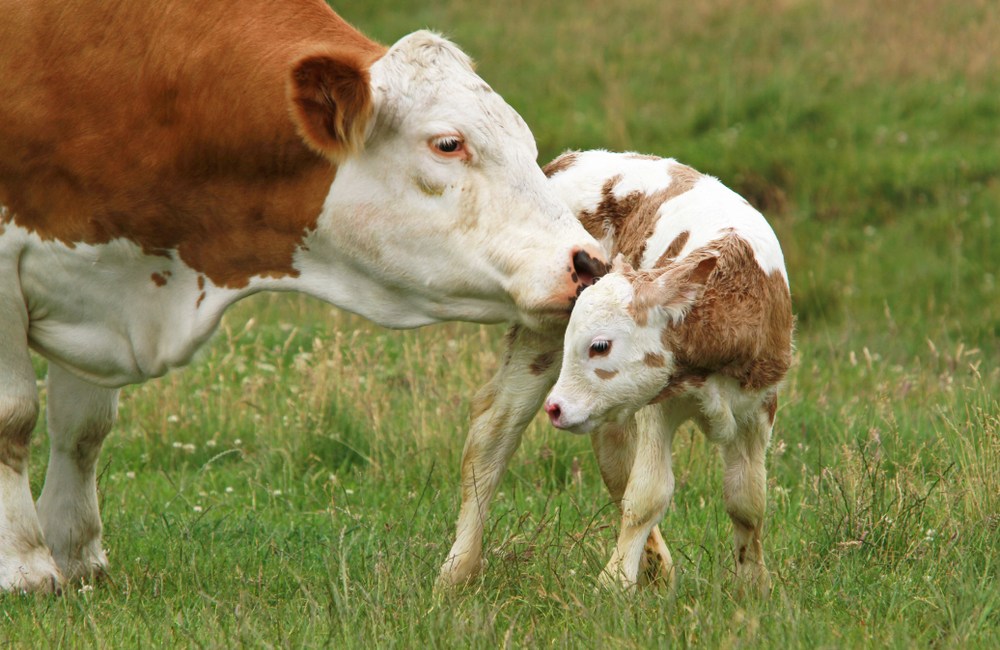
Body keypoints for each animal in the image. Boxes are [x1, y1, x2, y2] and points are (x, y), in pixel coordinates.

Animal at [1, 0, 608, 588]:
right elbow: (15, 415)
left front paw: (76, 555)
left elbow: (84, 428)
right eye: (448, 144)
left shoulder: (98, 292)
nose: (590, 262)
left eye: (527, 145)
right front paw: (28, 566)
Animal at [438, 149, 788, 596]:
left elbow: (747, 499)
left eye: (600, 346)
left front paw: (753, 587)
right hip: (538, 336)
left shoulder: (759, 408)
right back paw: (457, 571)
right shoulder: (660, 404)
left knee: (614, 452)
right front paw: (613, 584)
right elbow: (649, 493)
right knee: (494, 431)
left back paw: (658, 571)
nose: (556, 408)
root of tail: (567, 160)